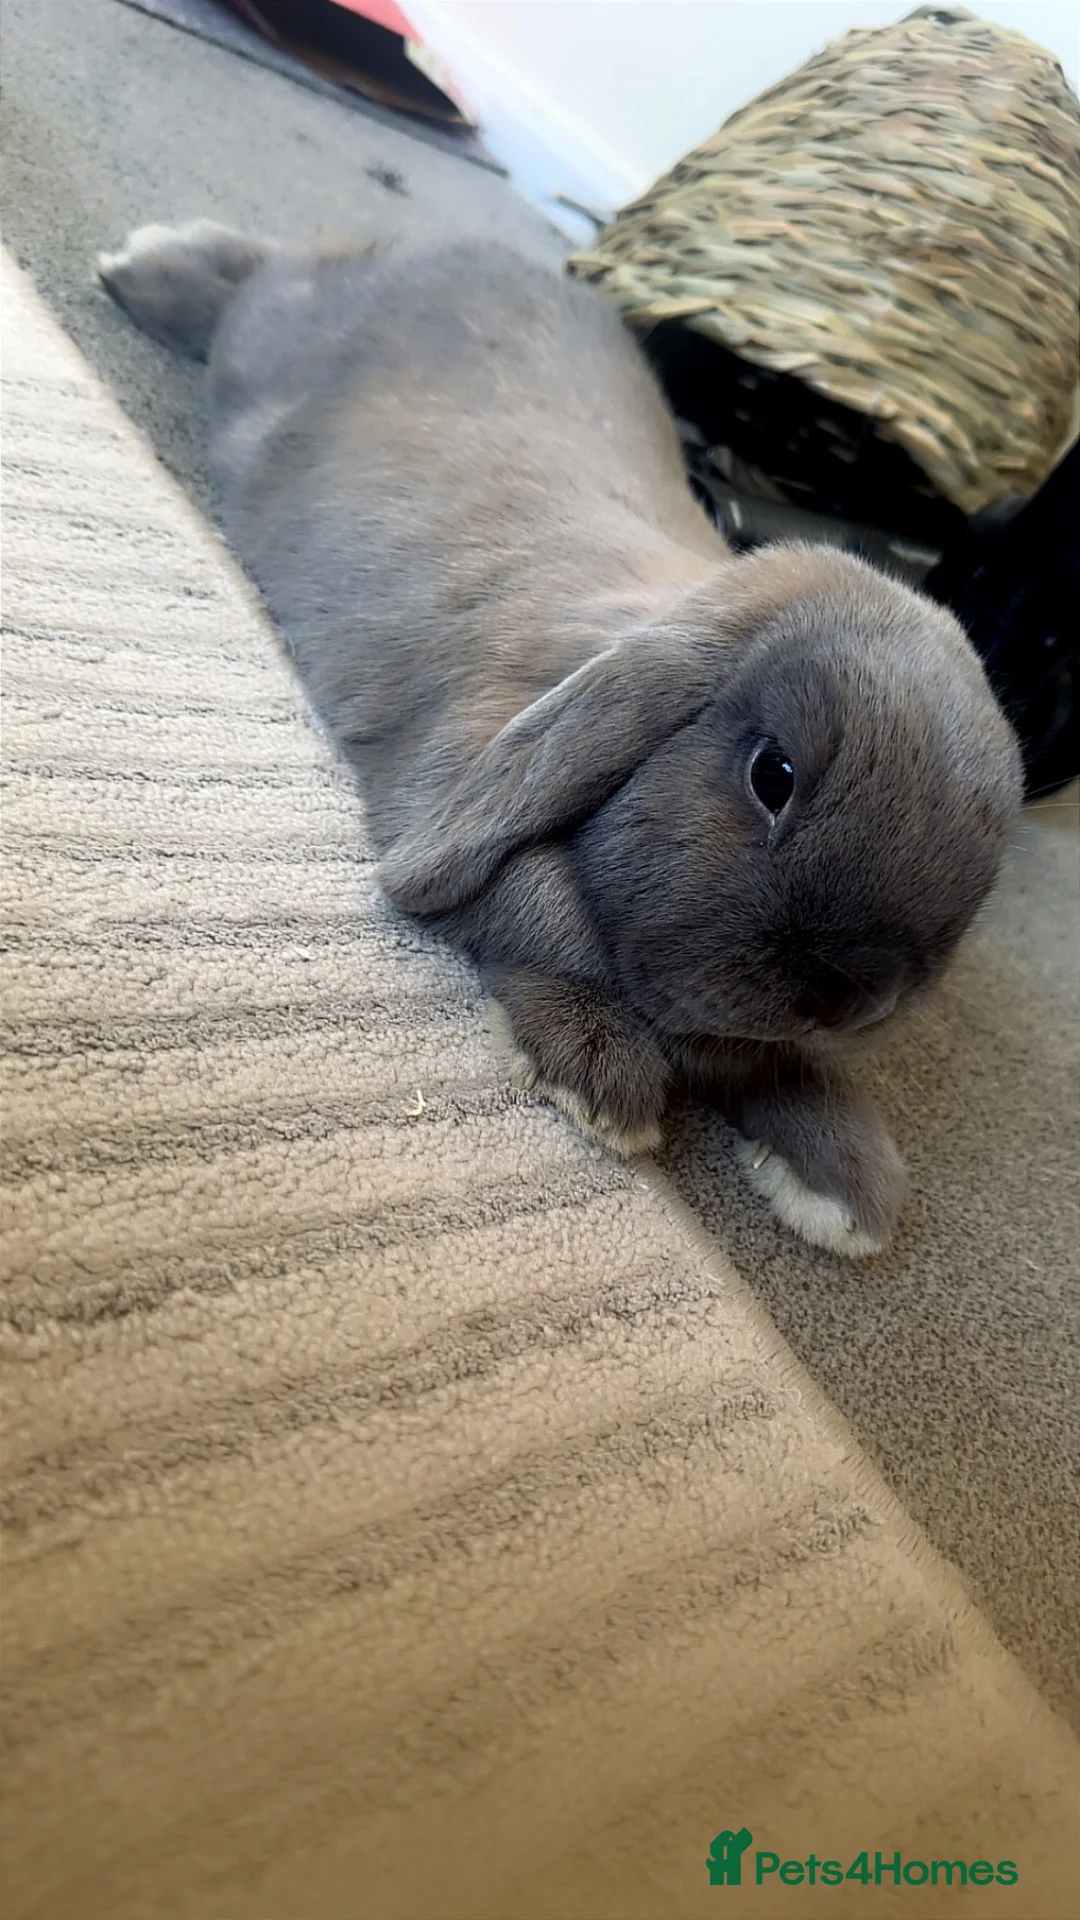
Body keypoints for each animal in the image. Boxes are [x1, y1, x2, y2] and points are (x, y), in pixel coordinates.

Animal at [96, 219, 1022, 1257]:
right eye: (773, 775)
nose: (847, 999)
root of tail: (436, 239)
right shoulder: (454, 778)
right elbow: (539, 912)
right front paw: (600, 1074)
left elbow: (773, 1066)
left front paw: (847, 1187)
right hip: (272, 342)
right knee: (252, 286)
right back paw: (147, 264)